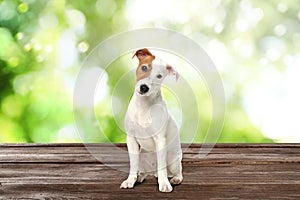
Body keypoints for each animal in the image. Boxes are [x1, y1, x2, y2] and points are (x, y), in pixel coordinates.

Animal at [120, 48, 183, 192]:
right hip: (142, 156)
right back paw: (139, 177)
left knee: (175, 171)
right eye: (144, 67)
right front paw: (130, 180)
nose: (144, 87)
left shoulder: (160, 139)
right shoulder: (131, 139)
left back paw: (174, 179)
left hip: (173, 160)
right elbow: (133, 165)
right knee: (143, 170)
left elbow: (162, 168)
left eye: (159, 76)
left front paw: (164, 184)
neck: (144, 106)